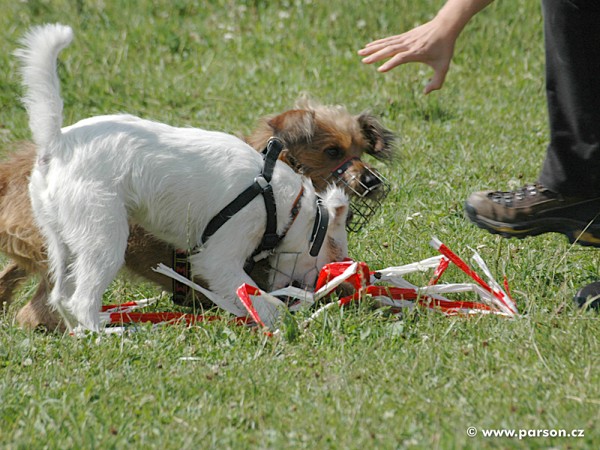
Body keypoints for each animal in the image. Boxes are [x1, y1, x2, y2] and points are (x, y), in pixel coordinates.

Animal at [17, 24, 352, 332]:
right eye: (335, 255)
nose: (339, 292)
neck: (283, 203)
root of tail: (57, 143)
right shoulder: (219, 258)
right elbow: (254, 296)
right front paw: (277, 318)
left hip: (63, 243)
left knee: (61, 296)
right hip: (104, 237)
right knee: (82, 298)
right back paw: (106, 333)